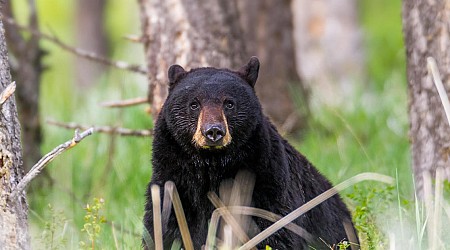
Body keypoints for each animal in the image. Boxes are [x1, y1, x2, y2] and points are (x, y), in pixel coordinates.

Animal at [144, 57, 358, 249]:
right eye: (194, 104)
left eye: (229, 103)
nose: (213, 132)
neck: (212, 166)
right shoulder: (174, 180)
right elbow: (163, 223)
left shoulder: (266, 178)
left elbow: (276, 226)